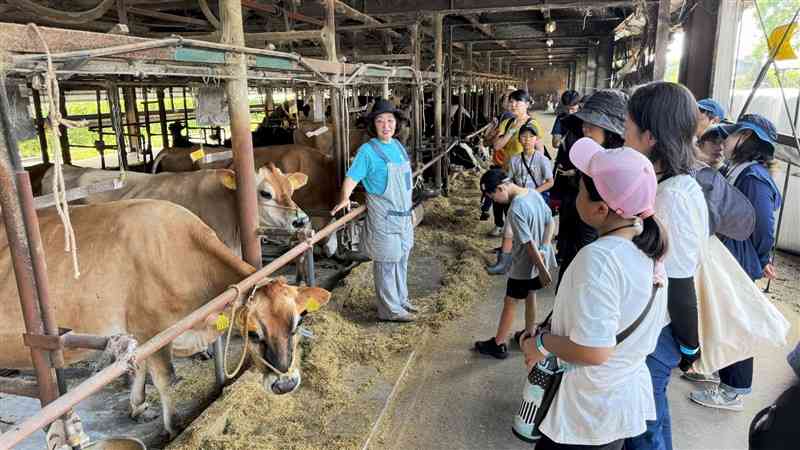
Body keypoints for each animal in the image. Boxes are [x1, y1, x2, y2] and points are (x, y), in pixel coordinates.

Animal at [0, 200, 332, 436]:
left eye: (299, 322)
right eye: (252, 333)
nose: (285, 385)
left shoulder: (140, 333)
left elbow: (140, 367)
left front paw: (137, 406)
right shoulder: (153, 329)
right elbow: (164, 378)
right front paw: (173, 424)